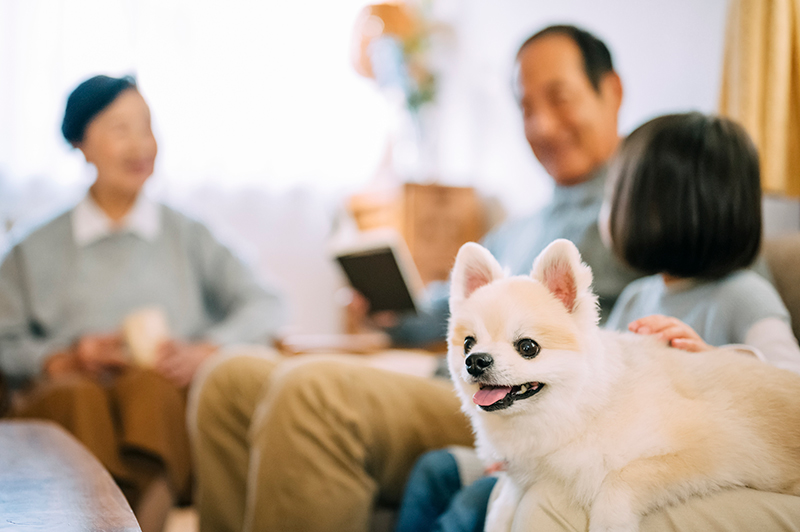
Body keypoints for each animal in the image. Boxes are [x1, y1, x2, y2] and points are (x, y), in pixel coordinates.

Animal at [444, 240, 800, 532]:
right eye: (468, 343)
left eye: (528, 347)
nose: (475, 361)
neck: (581, 411)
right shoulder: (523, 475)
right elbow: (502, 505)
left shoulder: (717, 450)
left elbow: (621, 478)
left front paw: (610, 522)